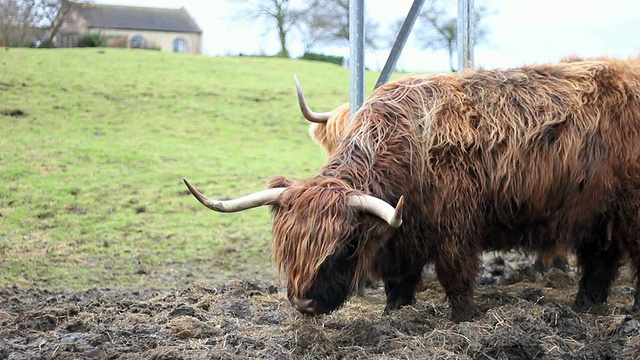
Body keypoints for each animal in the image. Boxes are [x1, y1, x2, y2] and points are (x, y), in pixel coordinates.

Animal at [184, 57, 640, 324]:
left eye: (346, 246)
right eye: (287, 247)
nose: (304, 304)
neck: (405, 148)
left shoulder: (456, 230)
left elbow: (456, 278)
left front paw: (463, 321)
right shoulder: (400, 237)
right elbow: (398, 282)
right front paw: (394, 315)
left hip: (629, 211)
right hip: (598, 213)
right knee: (600, 260)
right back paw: (586, 306)